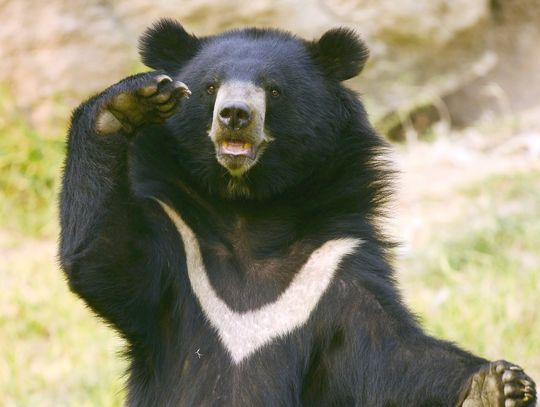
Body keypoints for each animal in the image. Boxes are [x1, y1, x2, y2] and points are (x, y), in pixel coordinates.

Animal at [60, 19, 536, 407]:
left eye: (273, 89)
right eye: (211, 87)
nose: (235, 115)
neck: (248, 210)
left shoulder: (335, 268)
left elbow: (392, 353)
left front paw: (498, 386)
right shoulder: (178, 249)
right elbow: (108, 257)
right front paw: (128, 104)